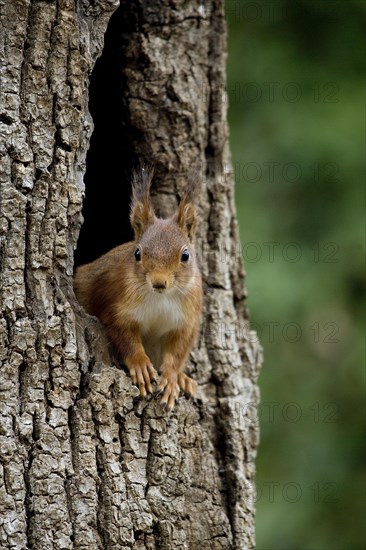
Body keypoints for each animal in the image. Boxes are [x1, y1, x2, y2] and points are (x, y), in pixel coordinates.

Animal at [74, 166, 203, 412]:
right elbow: (126, 337)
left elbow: (177, 352)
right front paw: (141, 365)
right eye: (137, 253)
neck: (161, 298)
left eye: (185, 255)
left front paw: (172, 377)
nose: (159, 282)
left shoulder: (187, 320)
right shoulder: (116, 306)